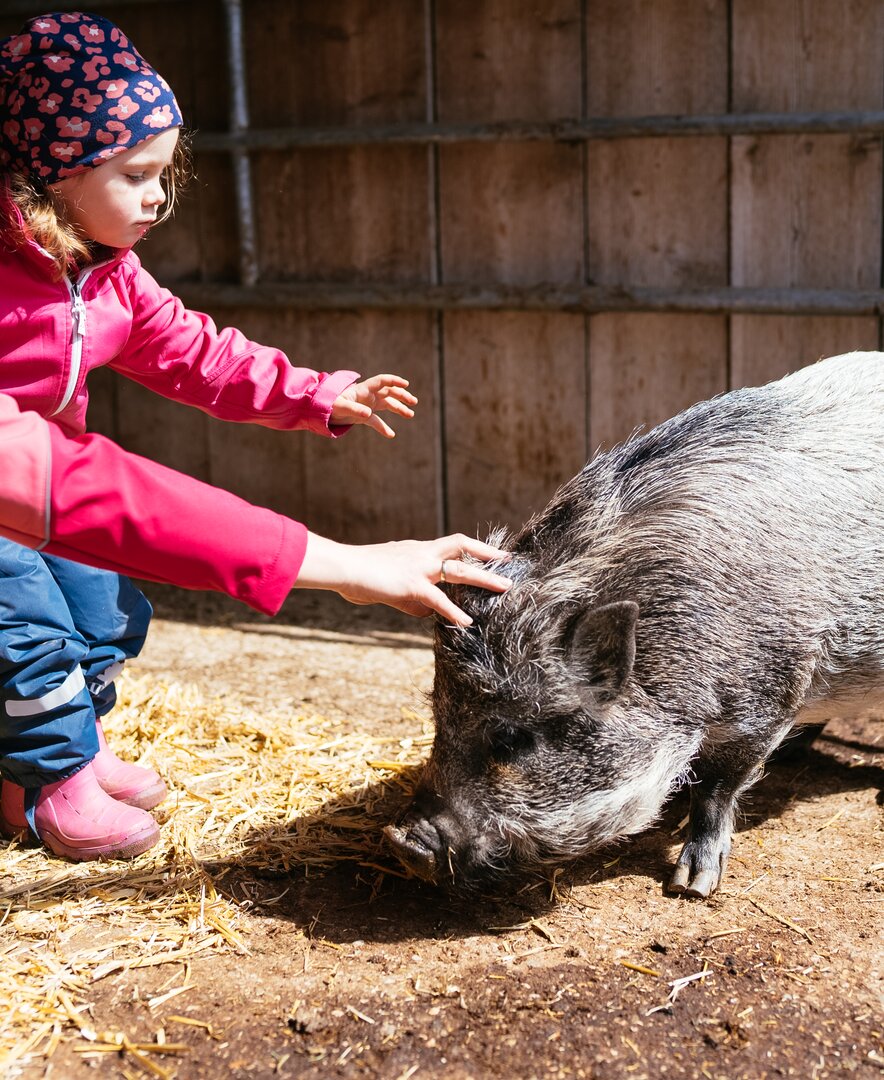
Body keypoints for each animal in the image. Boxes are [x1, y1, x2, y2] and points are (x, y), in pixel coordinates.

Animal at [386, 352, 884, 894]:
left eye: (513, 738)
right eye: (439, 717)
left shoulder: (767, 697)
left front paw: (690, 886)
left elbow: (716, 788)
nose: (401, 840)